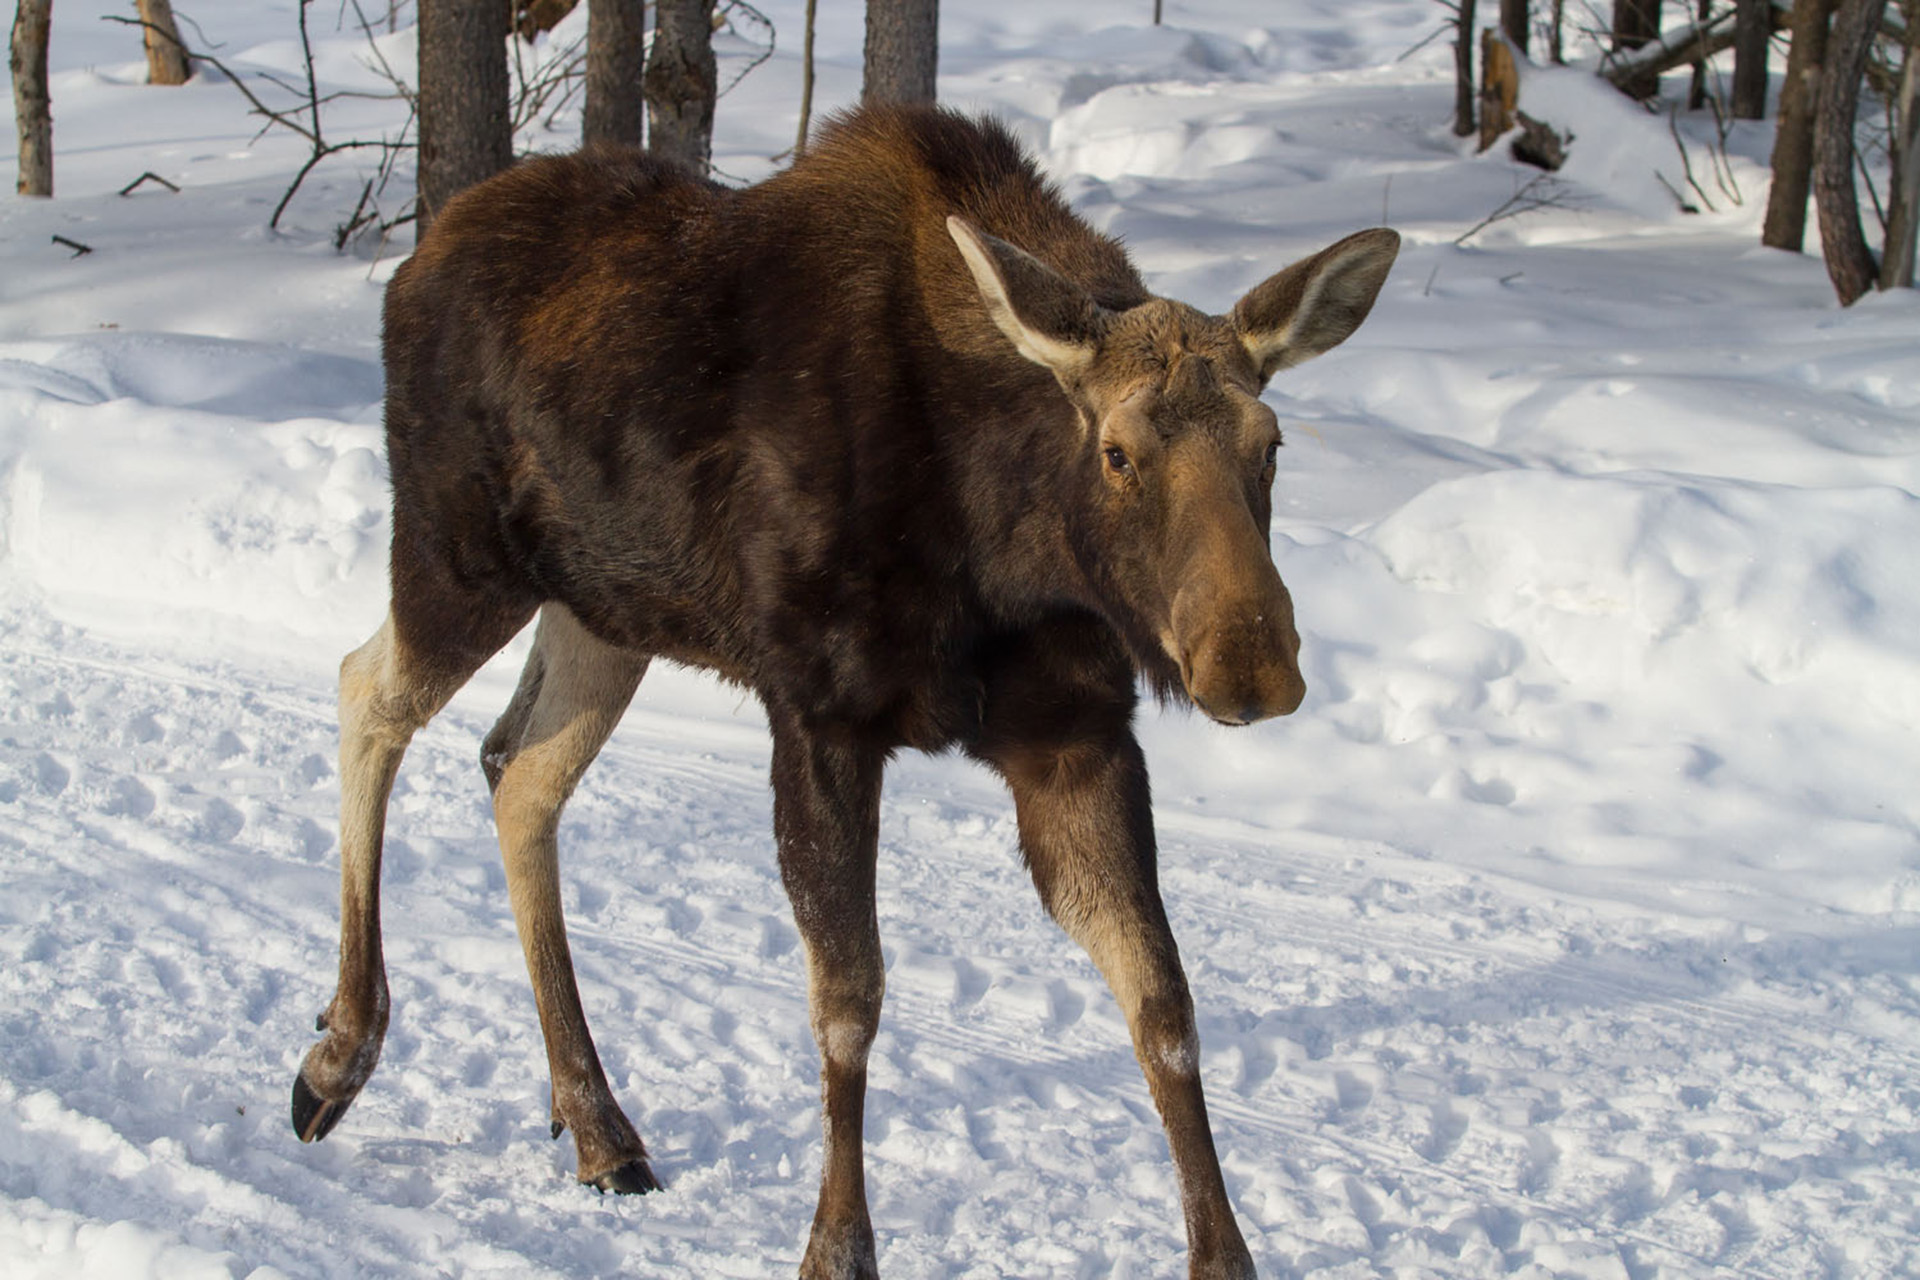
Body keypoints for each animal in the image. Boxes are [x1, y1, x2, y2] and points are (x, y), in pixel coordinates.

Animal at [284, 105, 1397, 1274]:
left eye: (1268, 445)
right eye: (1120, 452)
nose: (1253, 662)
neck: (1003, 545)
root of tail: (416, 263)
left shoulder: (1076, 733)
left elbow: (1162, 1001)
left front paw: (1224, 1254)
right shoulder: (820, 715)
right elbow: (848, 999)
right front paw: (837, 1242)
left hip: (604, 612)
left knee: (519, 772)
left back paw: (596, 1123)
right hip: (457, 556)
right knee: (369, 694)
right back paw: (339, 1055)